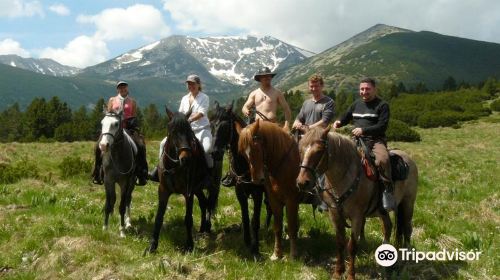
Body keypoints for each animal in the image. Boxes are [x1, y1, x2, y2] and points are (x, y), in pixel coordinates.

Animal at [144, 108, 216, 253]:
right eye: (173, 132)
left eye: (189, 132)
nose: (186, 159)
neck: (174, 166)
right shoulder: (163, 190)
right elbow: (159, 217)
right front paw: (152, 246)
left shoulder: (188, 193)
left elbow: (188, 218)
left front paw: (189, 245)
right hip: (198, 189)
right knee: (203, 203)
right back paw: (202, 229)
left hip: (209, 186)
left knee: (210, 203)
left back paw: (207, 227)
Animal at [238, 118, 300, 260]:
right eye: (243, 154)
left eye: (256, 148)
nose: (257, 180)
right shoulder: (274, 200)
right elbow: (277, 226)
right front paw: (276, 254)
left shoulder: (291, 200)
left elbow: (291, 225)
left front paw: (293, 254)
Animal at [296, 127, 418, 280]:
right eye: (300, 148)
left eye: (319, 150)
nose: (302, 182)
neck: (344, 177)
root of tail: (408, 159)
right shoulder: (335, 214)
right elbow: (340, 242)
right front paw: (338, 272)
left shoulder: (357, 217)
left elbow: (352, 245)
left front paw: (351, 275)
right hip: (383, 211)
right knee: (388, 227)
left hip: (407, 204)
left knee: (407, 230)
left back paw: (406, 261)